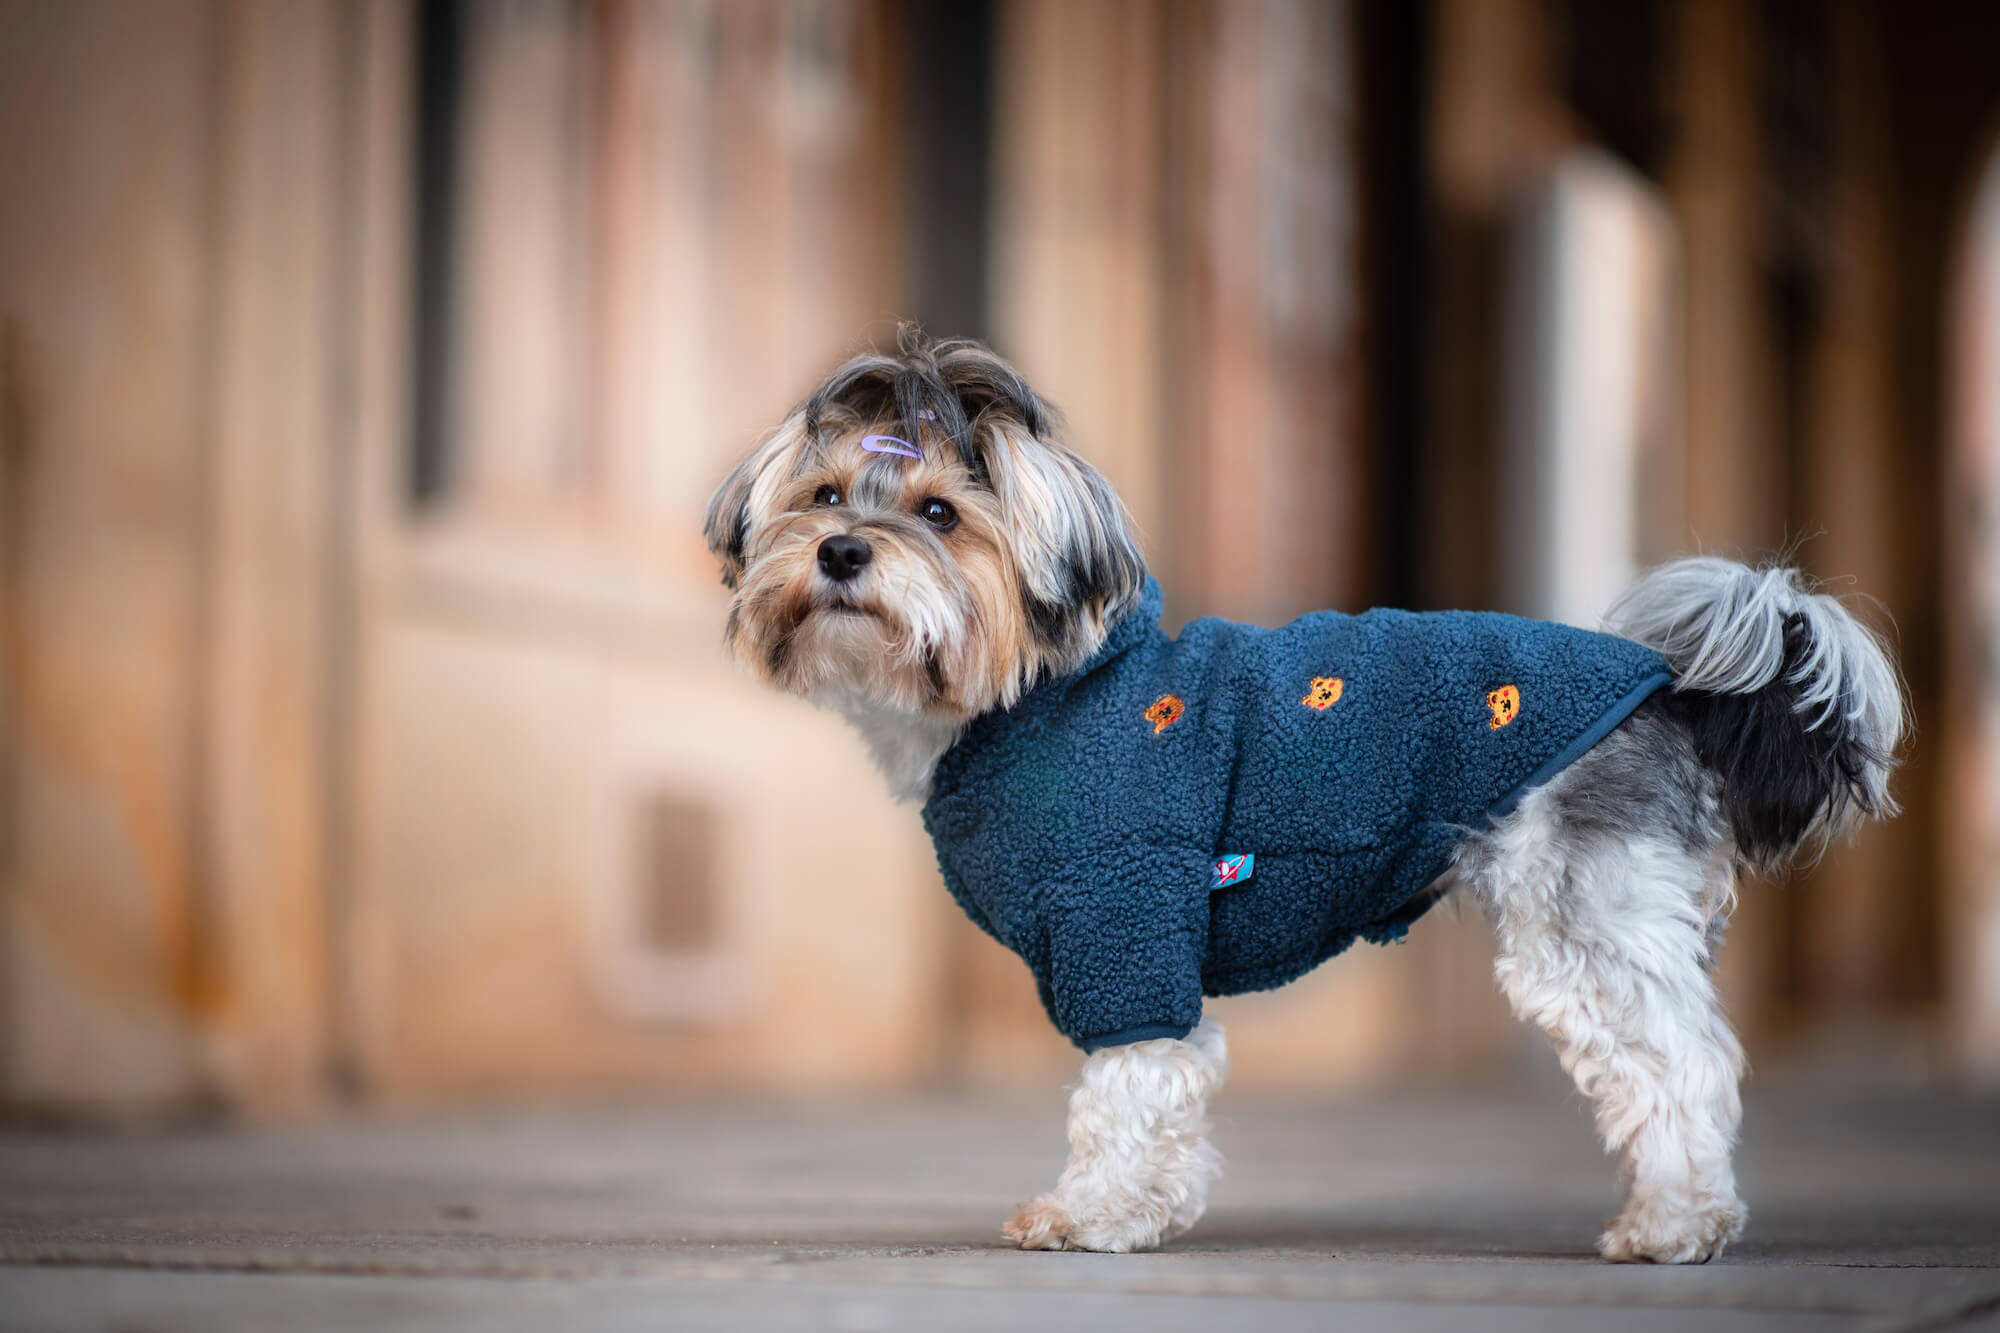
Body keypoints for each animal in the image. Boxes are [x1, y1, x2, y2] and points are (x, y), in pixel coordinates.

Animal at [704, 326, 1904, 1264]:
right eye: (821, 496)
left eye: (942, 513)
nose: (842, 550)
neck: (1034, 691)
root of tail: (1669, 689)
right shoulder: (1143, 942)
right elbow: (1168, 1092)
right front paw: (1151, 1210)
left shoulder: (1126, 913)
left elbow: (1125, 1090)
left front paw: (1090, 1214)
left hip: (1584, 926)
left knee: (1677, 1063)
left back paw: (1673, 1224)